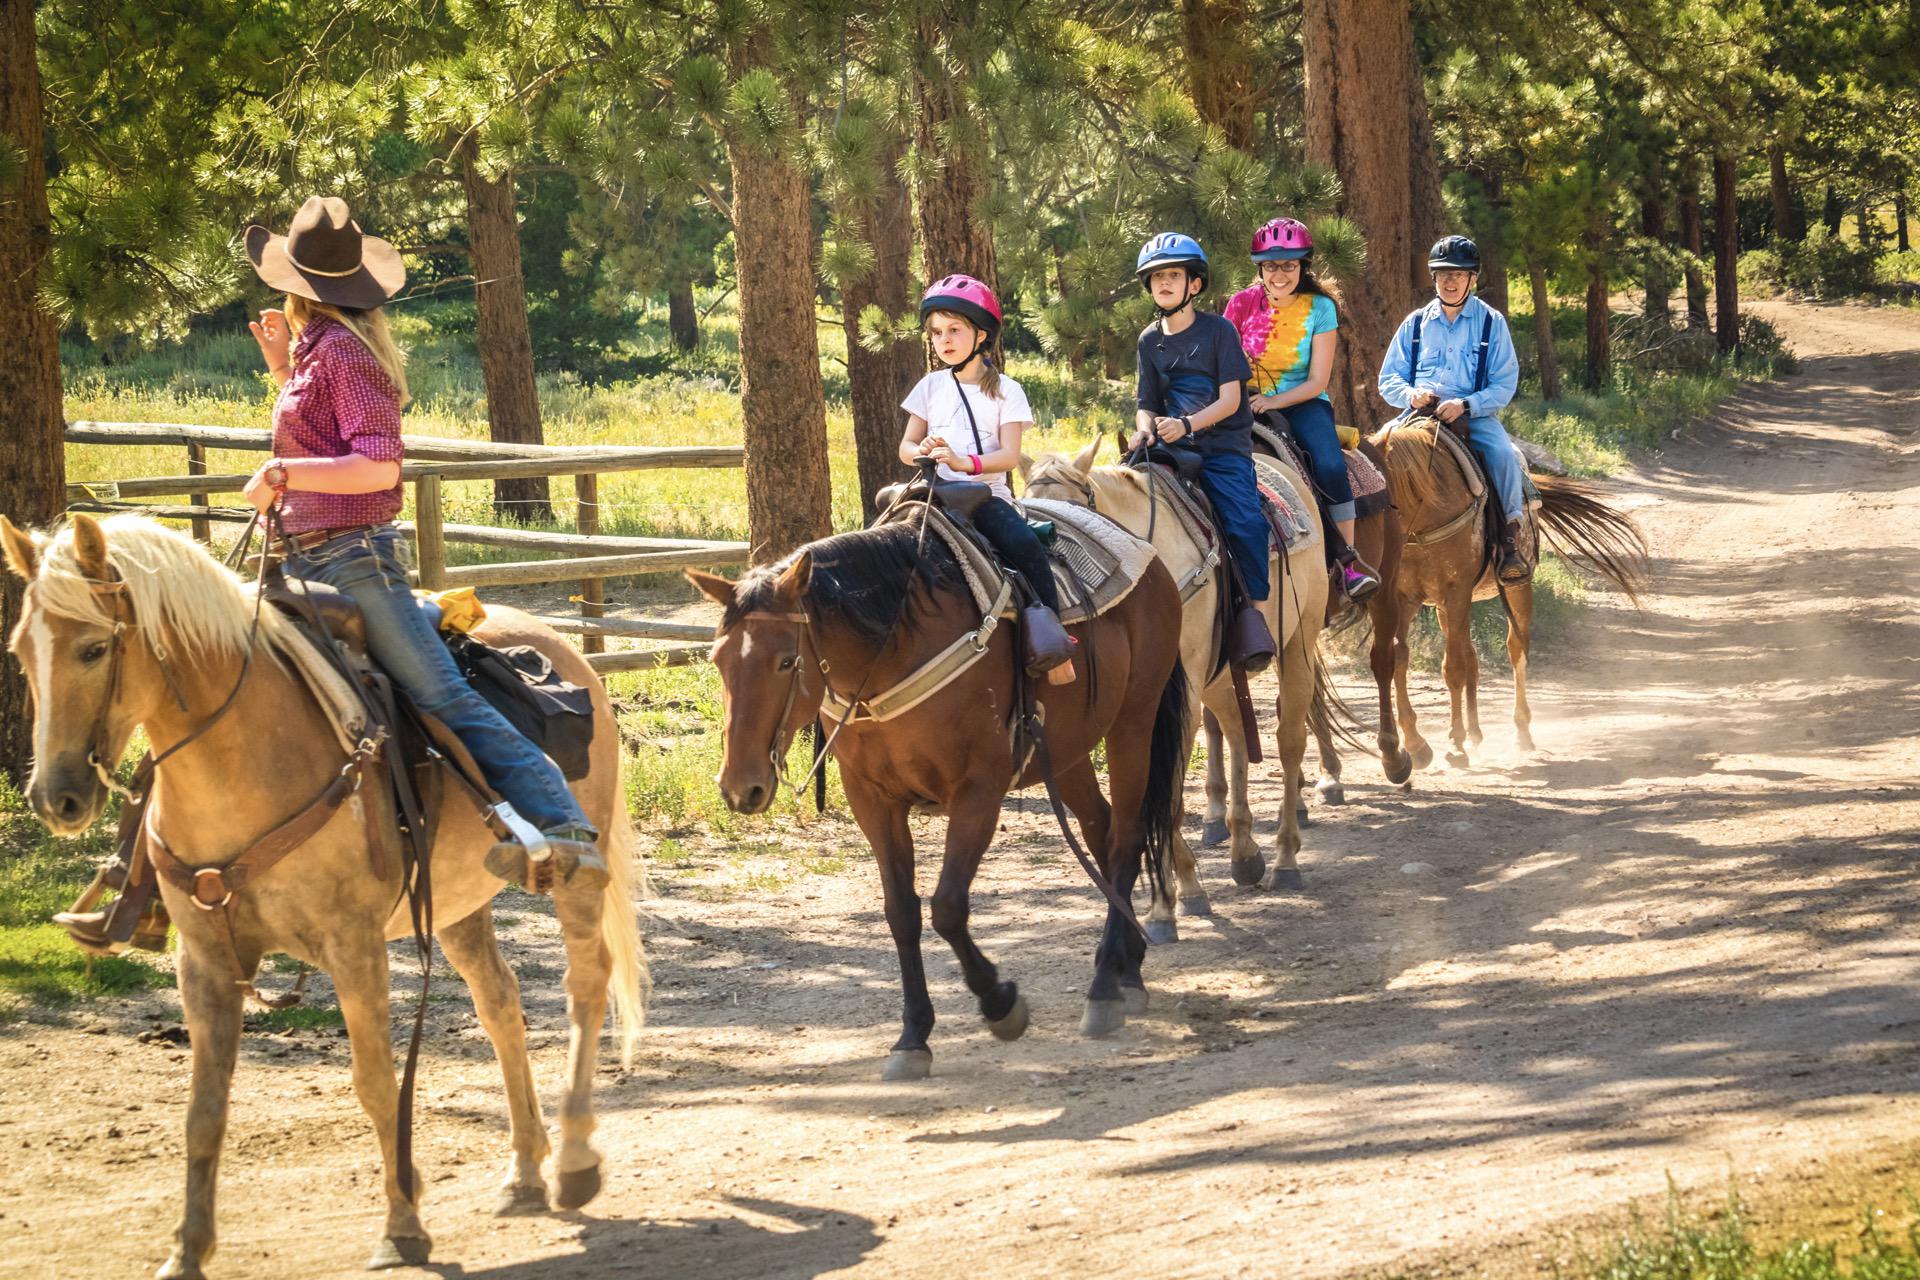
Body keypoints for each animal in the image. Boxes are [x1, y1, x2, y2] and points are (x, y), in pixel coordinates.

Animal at [0, 514, 645, 1280]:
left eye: (95, 648)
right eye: (21, 650)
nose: (56, 798)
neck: (247, 761)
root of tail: (570, 653)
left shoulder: (354, 947)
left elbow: (376, 1084)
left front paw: (402, 1227)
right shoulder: (204, 962)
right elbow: (203, 1108)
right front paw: (186, 1251)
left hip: (577, 878)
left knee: (586, 985)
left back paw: (573, 1159)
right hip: (458, 905)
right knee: (500, 1002)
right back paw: (523, 1172)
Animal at [683, 510, 1190, 1082]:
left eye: (787, 662)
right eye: (719, 659)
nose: (740, 786)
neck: (891, 653)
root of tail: (1148, 559)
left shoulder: (978, 791)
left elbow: (947, 907)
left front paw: (1001, 1004)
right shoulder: (871, 800)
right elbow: (901, 912)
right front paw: (912, 1038)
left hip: (1134, 723)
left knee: (1126, 838)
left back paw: (1105, 987)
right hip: (1067, 750)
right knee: (1101, 830)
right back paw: (1129, 968)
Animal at [1029, 443, 1328, 921]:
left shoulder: (1178, 697)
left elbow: (1165, 789)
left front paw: (1175, 896)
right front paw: (1170, 896)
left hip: (1299, 639)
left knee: (1289, 741)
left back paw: (1285, 857)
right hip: (1218, 675)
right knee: (1236, 731)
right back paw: (1244, 850)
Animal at [1367, 418, 1651, 771]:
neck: (1425, 517)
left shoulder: (1455, 591)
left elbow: (1453, 668)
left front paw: (1455, 744)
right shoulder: (1404, 597)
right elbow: (1400, 659)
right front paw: (1417, 744)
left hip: (1514, 589)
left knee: (1515, 650)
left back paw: (1520, 732)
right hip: (1448, 608)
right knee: (1471, 656)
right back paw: (1476, 734)